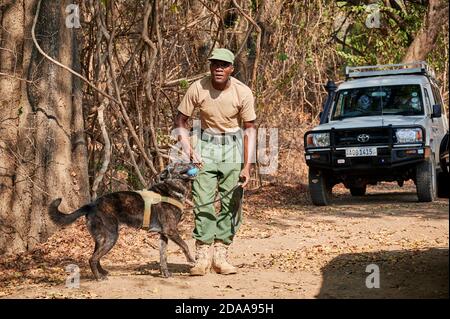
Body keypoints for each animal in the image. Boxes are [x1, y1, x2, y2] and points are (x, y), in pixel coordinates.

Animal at [48, 162, 197, 280]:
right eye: (180, 164)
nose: (194, 163)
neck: (172, 189)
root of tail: (91, 205)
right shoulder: (171, 230)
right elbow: (185, 245)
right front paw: (191, 260)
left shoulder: (163, 235)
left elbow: (163, 256)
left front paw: (165, 273)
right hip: (111, 237)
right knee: (92, 258)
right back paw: (99, 277)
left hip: (102, 238)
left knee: (96, 256)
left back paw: (102, 272)